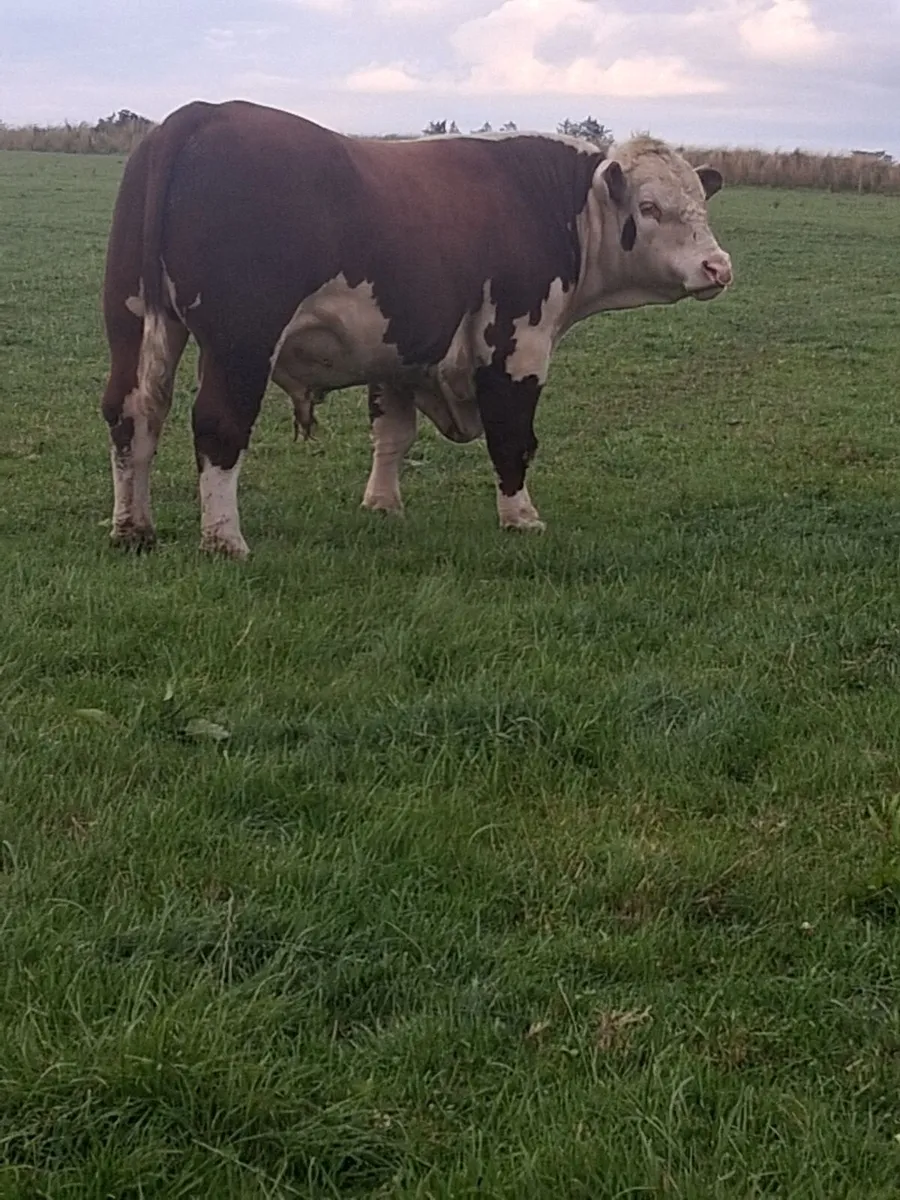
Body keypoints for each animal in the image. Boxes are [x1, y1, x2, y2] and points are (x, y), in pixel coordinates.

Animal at [100, 99, 732, 558]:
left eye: (700, 203)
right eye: (649, 208)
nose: (717, 266)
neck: (559, 205)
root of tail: (199, 113)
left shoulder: (398, 350)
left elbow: (392, 433)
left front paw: (382, 505)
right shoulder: (517, 343)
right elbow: (513, 436)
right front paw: (521, 517)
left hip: (132, 322)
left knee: (133, 412)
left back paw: (133, 528)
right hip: (241, 342)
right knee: (217, 425)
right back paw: (225, 540)